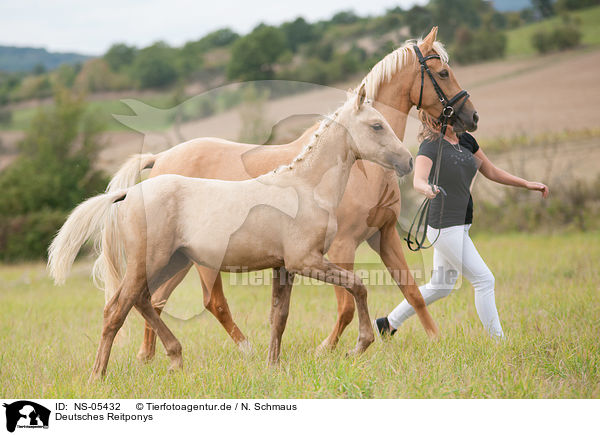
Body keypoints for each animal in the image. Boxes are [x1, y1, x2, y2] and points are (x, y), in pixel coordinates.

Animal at [48, 86, 412, 382]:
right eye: (376, 125)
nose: (407, 162)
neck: (306, 188)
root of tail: (127, 194)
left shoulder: (284, 267)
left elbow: (279, 317)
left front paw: (273, 367)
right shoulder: (306, 260)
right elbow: (358, 286)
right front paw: (359, 346)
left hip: (172, 262)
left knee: (144, 300)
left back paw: (176, 358)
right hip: (149, 262)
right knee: (117, 309)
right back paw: (98, 376)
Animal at [95, 28, 478, 362]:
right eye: (443, 72)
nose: (471, 117)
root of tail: (159, 160)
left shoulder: (381, 236)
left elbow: (411, 291)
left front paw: (436, 342)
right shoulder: (336, 249)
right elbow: (347, 303)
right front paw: (330, 349)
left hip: (179, 259)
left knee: (153, 300)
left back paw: (152, 356)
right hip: (188, 262)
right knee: (196, 303)